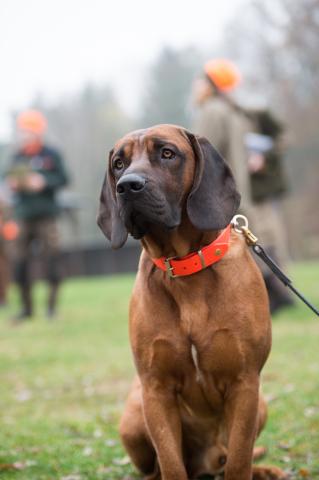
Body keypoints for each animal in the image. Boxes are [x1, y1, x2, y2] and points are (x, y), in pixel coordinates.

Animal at [97, 124, 288, 480]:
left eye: (167, 153)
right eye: (118, 163)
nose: (127, 186)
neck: (185, 266)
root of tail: (207, 462)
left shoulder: (245, 383)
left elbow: (240, 460)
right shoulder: (156, 390)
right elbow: (171, 463)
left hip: (261, 404)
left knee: (231, 458)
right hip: (133, 414)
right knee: (155, 469)